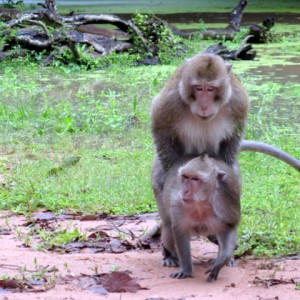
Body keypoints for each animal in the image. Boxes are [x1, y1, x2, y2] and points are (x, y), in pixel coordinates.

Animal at [156, 154, 240, 282]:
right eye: (185, 177)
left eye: (195, 179)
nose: (185, 191)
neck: (201, 203)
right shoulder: (177, 204)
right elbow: (180, 232)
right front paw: (185, 270)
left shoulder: (225, 205)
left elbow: (229, 227)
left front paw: (221, 262)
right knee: (168, 229)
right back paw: (170, 256)